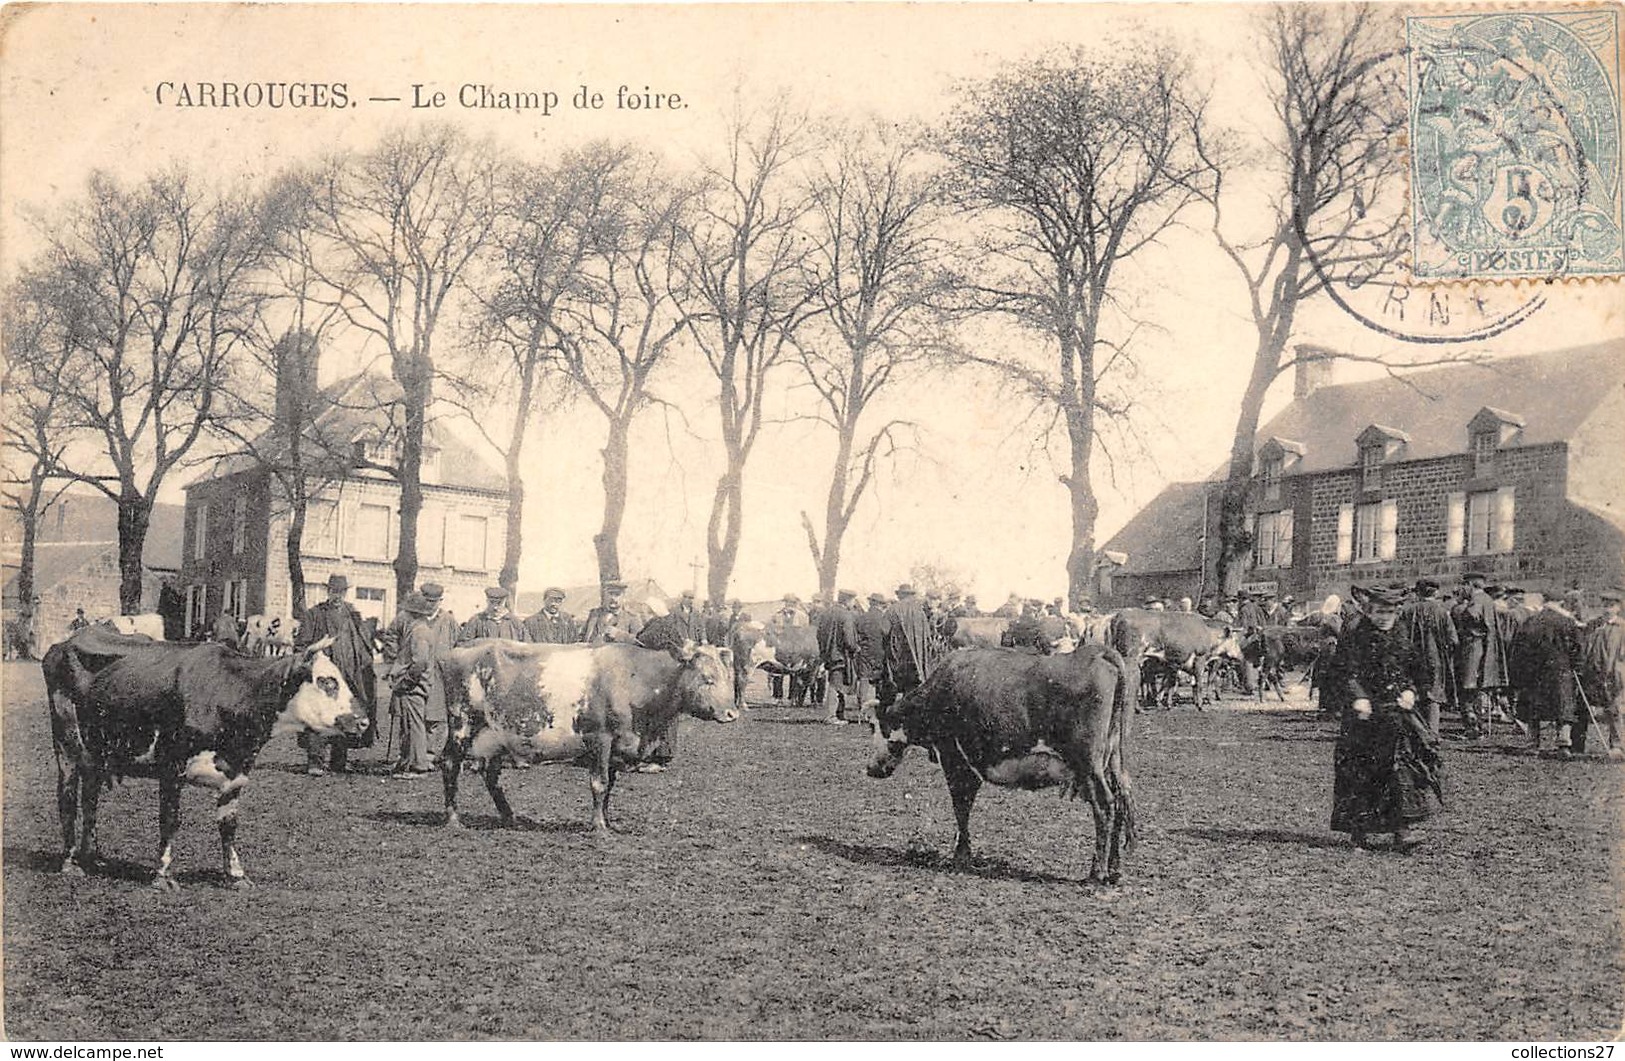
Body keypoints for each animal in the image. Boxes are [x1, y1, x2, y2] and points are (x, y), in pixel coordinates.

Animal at [45, 623, 362, 890]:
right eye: (326, 681)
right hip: (67, 744)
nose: (363, 721)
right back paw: (71, 862)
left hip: (96, 753)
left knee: (90, 799)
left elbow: (229, 826)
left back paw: (94, 856)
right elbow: (170, 820)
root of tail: (66, 642)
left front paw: (236, 876)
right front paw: (163, 876)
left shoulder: (237, 775)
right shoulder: (171, 766)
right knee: (68, 797)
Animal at [432, 636, 737, 828]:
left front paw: (607, 821)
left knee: (491, 776)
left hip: (497, 734)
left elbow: (609, 786)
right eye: (707, 679)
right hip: (461, 723)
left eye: (726, 676)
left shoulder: (617, 746)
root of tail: (457, 648)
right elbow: (599, 783)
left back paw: (509, 817)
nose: (732, 713)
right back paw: (453, 819)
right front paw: (599, 826)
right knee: (449, 764)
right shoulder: (600, 739)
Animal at [864, 640, 1144, 883]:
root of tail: (1099, 652)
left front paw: (961, 856)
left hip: (1088, 763)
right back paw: (1115, 870)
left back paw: (1097, 872)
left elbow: (961, 806)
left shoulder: (955, 759)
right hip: (1113, 759)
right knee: (1121, 800)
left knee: (1104, 805)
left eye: (875, 726)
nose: (871, 768)